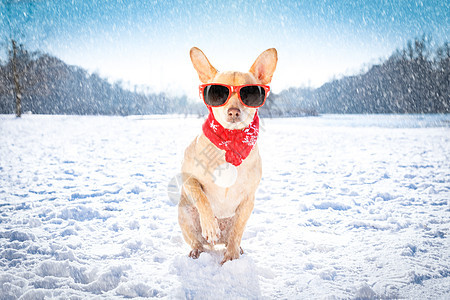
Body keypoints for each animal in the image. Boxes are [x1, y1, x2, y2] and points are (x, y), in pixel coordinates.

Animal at [178, 45, 276, 264]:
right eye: (218, 92)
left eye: (248, 93)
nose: (233, 111)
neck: (228, 142)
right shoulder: (188, 178)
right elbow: (202, 197)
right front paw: (209, 225)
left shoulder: (248, 198)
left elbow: (237, 232)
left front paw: (231, 258)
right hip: (185, 214)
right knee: (196, 241)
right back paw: (197, 250)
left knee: (233, 236)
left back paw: (236, 249)